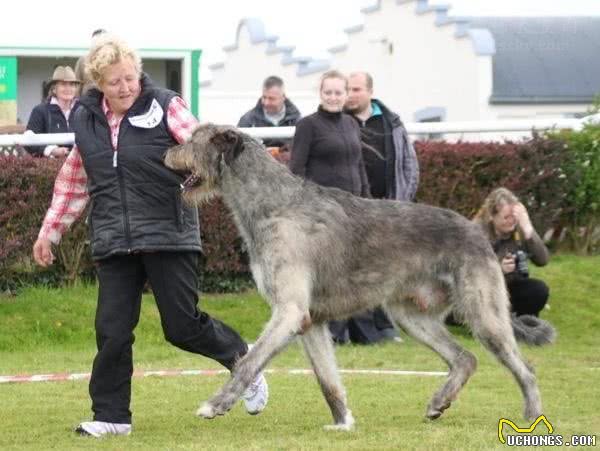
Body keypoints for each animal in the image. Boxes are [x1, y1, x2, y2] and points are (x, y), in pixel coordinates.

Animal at [165, 122, 544, 430]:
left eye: (192, 140)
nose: (167, 151)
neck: (273, 204)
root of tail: (479, 231)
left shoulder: (289, 311)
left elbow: (250, 361)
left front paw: (216, 404)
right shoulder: (310, 320)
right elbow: (327, 380)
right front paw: (343, 423)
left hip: (484, 312)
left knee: (524, 367)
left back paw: (532, 416)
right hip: (411, 315)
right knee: (465, 358)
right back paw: (439, 402)